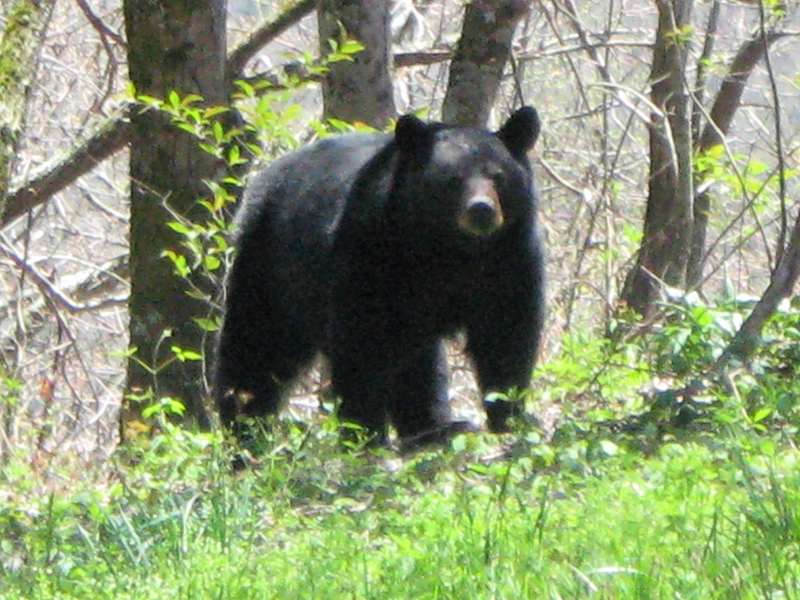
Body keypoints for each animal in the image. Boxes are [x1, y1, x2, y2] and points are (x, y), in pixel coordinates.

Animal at [215, 106, 544, 449]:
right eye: (452, 179)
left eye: (498, 176)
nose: (481, 210)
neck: (451, 250)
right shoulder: (372, 251)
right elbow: (362, 342)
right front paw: (364, 433)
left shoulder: (510, 258)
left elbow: (506, 335)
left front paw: (510, 419)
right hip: (272, 264)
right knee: (258, 345)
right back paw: (242, 429)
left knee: (418, 362)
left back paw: (434, 428)